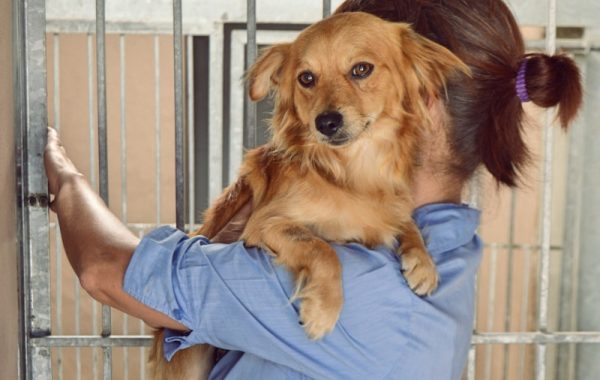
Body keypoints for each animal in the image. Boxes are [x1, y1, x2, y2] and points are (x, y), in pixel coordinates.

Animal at [149, 12, 468, 380]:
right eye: (306, 78)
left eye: (361, 69)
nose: (326, 122)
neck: (353, 174)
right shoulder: (265, 223)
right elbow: (321, 249)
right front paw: (322, 309)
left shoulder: (389, 206)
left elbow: (405, 220)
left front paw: (423, 262)